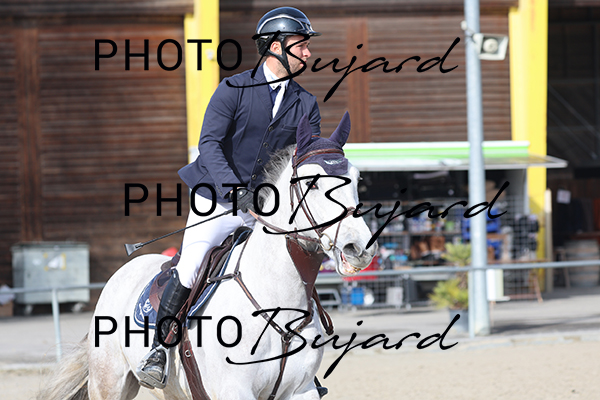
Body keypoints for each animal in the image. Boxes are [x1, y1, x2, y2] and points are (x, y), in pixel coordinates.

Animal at [38, 112, 377, 400]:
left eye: (358, 179)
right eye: (312, 183)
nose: (360, 248)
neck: (277, 303)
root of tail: (124, 271)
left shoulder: (300, 390)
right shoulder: (234, 391)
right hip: (109, 382)